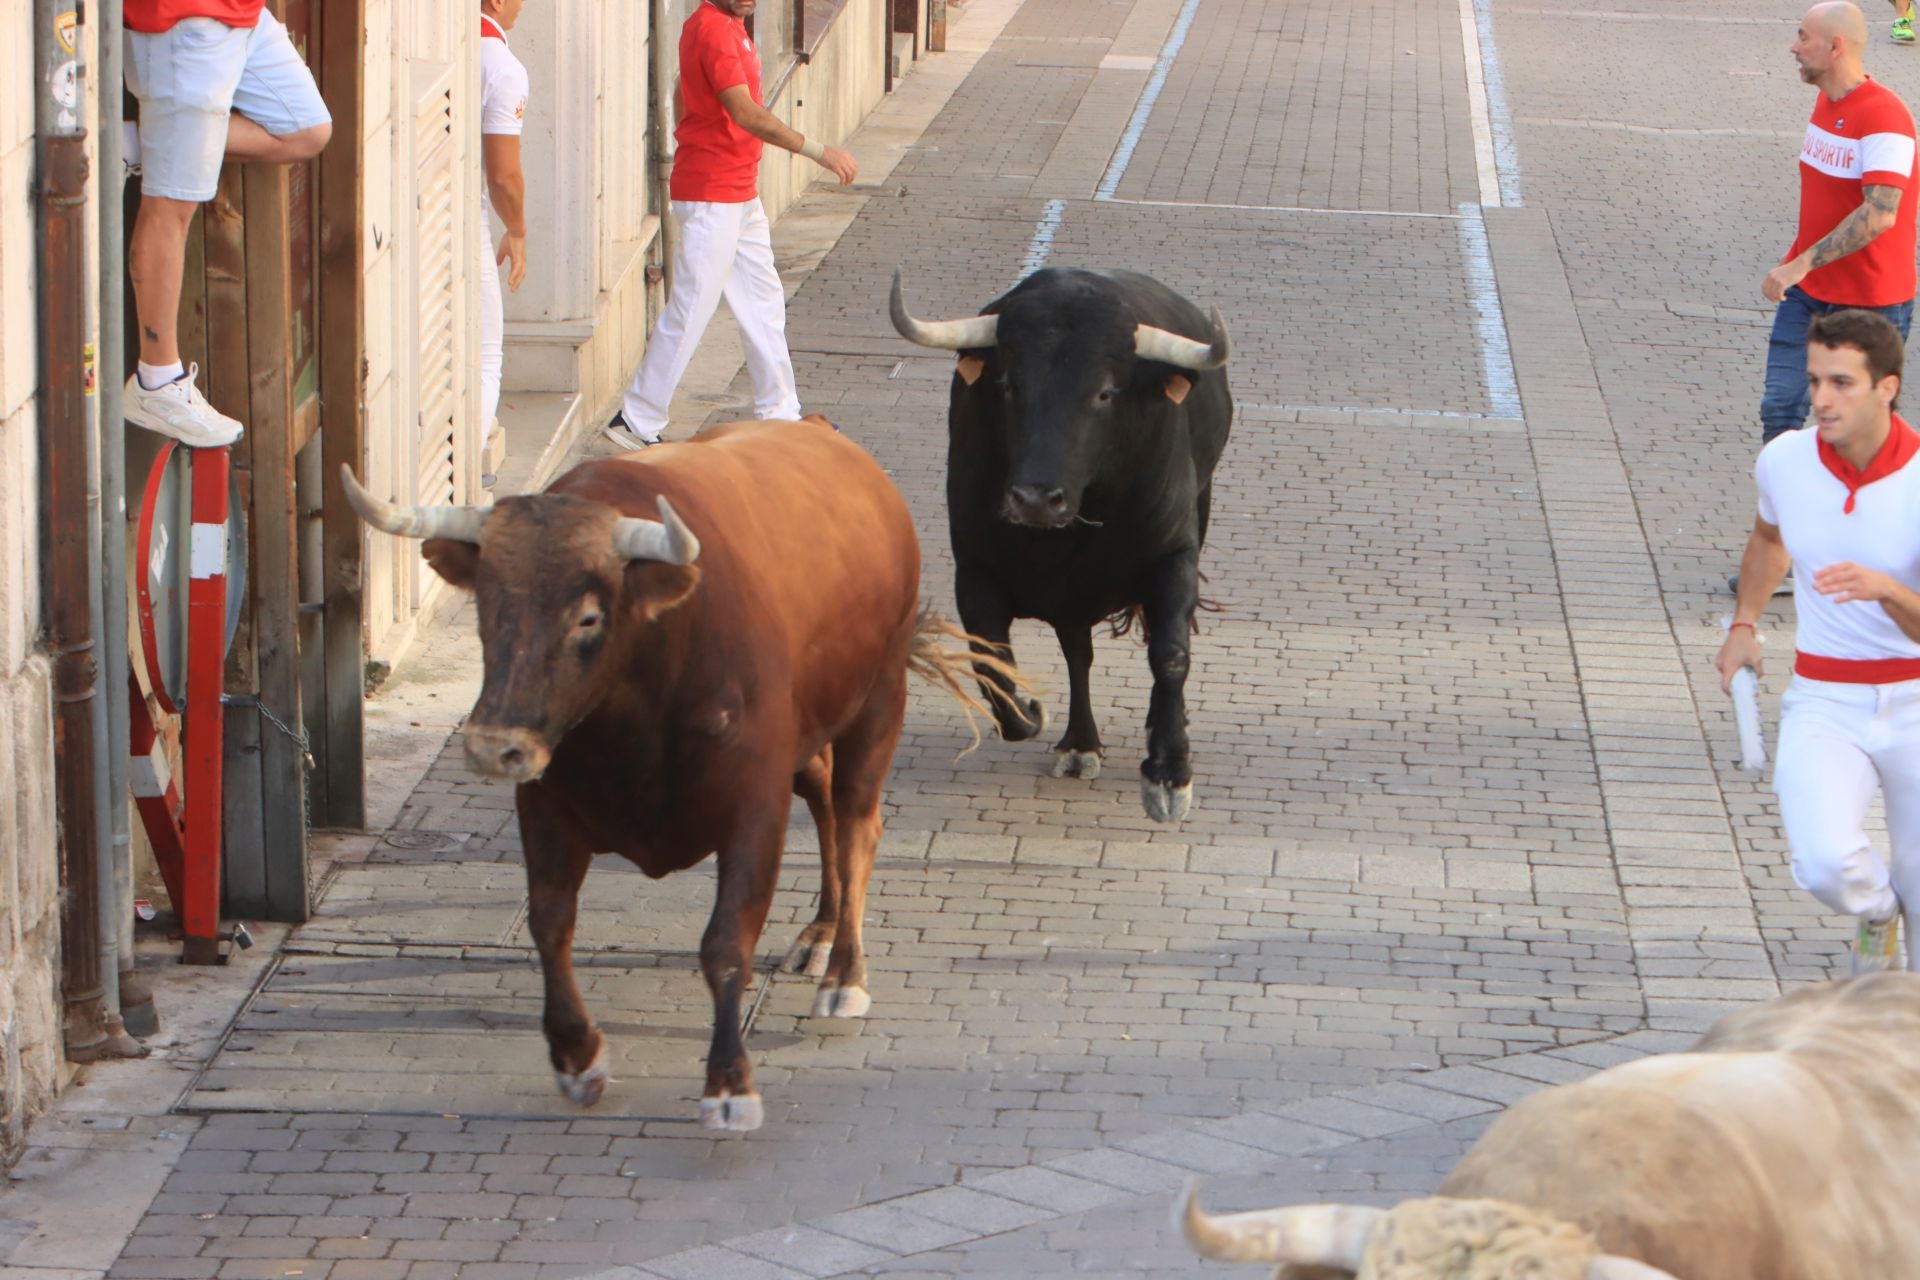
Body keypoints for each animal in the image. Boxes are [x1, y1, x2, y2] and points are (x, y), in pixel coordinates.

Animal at [341, 420, 975, 1128]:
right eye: (485, 605)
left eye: (588, 617)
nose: (491, 747)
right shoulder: (545, 802)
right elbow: (550, 920)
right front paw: (577, 1056)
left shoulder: (754, 807)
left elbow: (725, 942)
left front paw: (729, 1083)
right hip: (814, 730)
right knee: (828, 807)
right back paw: (819, 934)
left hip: (879, 698)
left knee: (859, 821)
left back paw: (844, 976)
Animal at [890, 266, 1236, 825]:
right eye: (1009, 384)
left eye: (1105, 393)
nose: (1034, 498)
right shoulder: (975, 569)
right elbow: (992, 663)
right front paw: (1033, 711)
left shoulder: (1174, 557)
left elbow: (1170, 654)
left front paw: (1169, 773)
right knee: (1078, 654)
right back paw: (1080, 743)